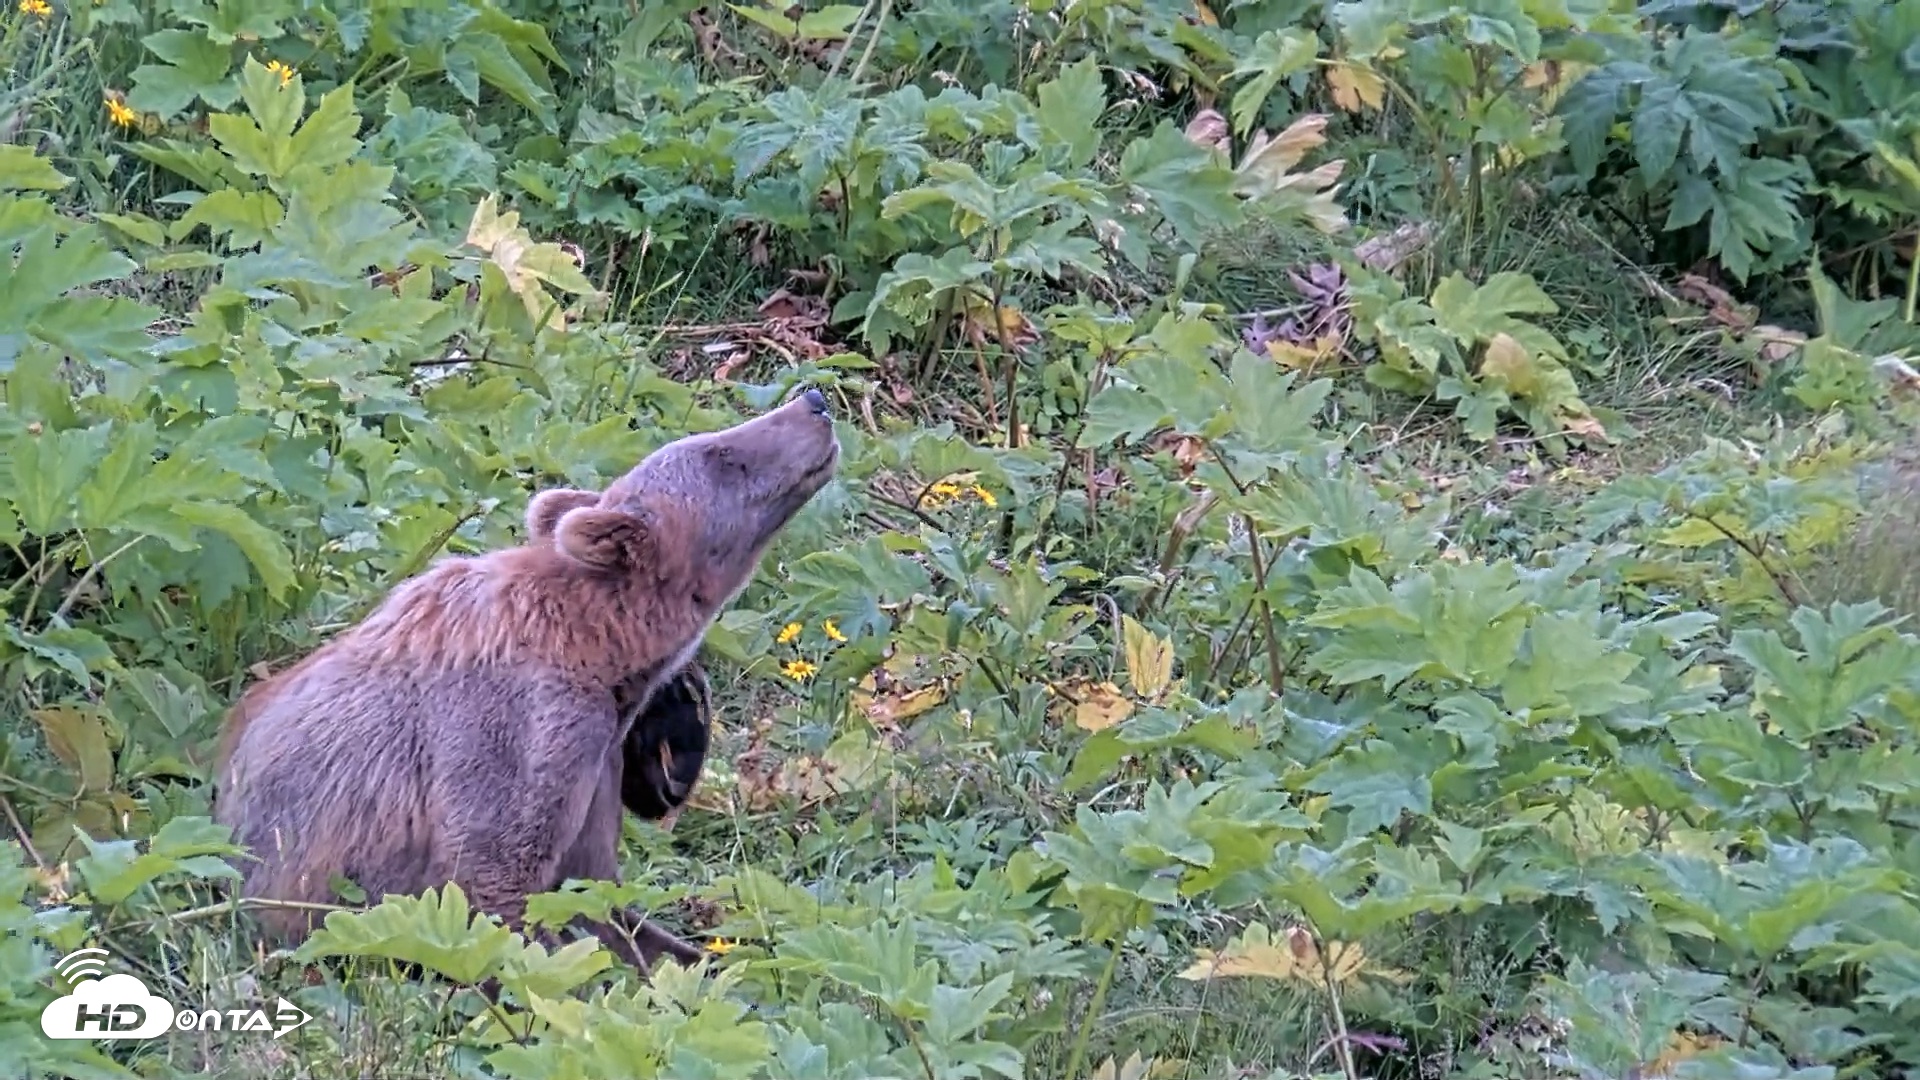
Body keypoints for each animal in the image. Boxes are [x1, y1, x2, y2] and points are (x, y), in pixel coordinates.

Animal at [212, 387, 839, 976]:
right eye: (721, 454)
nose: (814, 402)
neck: (603, 653)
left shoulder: (599, 765)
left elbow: (599, 898)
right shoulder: (522, 728)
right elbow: (497, 884)